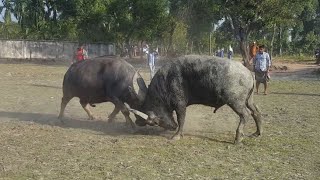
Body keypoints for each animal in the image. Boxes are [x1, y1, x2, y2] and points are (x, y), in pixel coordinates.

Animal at [129, 54, 262, 143]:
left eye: (154, 122)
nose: (172, 127)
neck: (166, 81)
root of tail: (248, 72)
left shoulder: (180, 105)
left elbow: (181, 119)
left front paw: (177, 135)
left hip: (235, 102)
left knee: (245, 115)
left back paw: (238, 138)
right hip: (248, 101)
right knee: (256, 112)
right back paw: (257, 133)